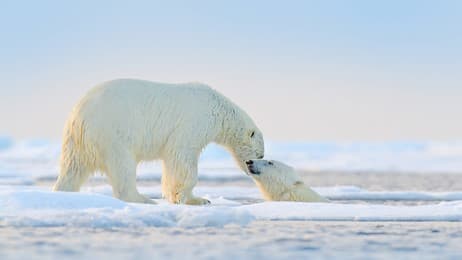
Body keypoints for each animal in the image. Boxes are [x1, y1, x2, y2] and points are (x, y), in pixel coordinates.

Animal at [52, 79, 264, 205]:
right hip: (112, 133)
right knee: (123, 166)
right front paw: (196, 199)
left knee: (72, 169)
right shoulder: (194, 123)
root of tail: (78, 115)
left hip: (77, 142)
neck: (218, 110)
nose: (250, 168)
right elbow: (182, 157)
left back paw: (63, 192)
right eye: (259, 154)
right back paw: (143, 199)